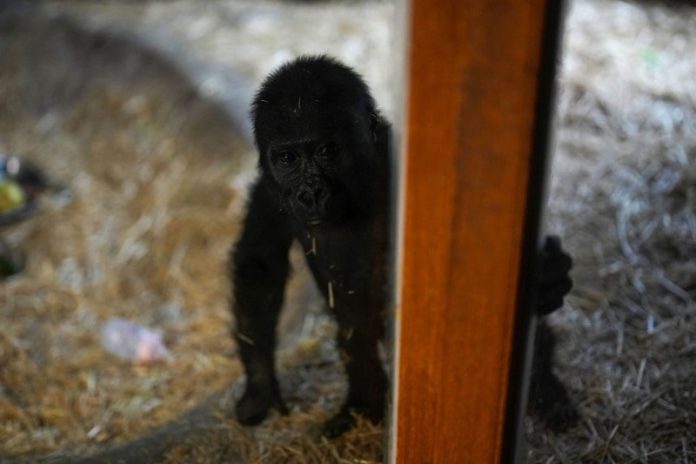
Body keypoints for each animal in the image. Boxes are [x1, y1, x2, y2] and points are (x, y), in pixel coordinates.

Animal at [230, 56, 388, 436]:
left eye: (327, 151)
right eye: (287, 158)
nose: (310, 193)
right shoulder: (268, 193)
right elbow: (260, 269)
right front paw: (260, 388)